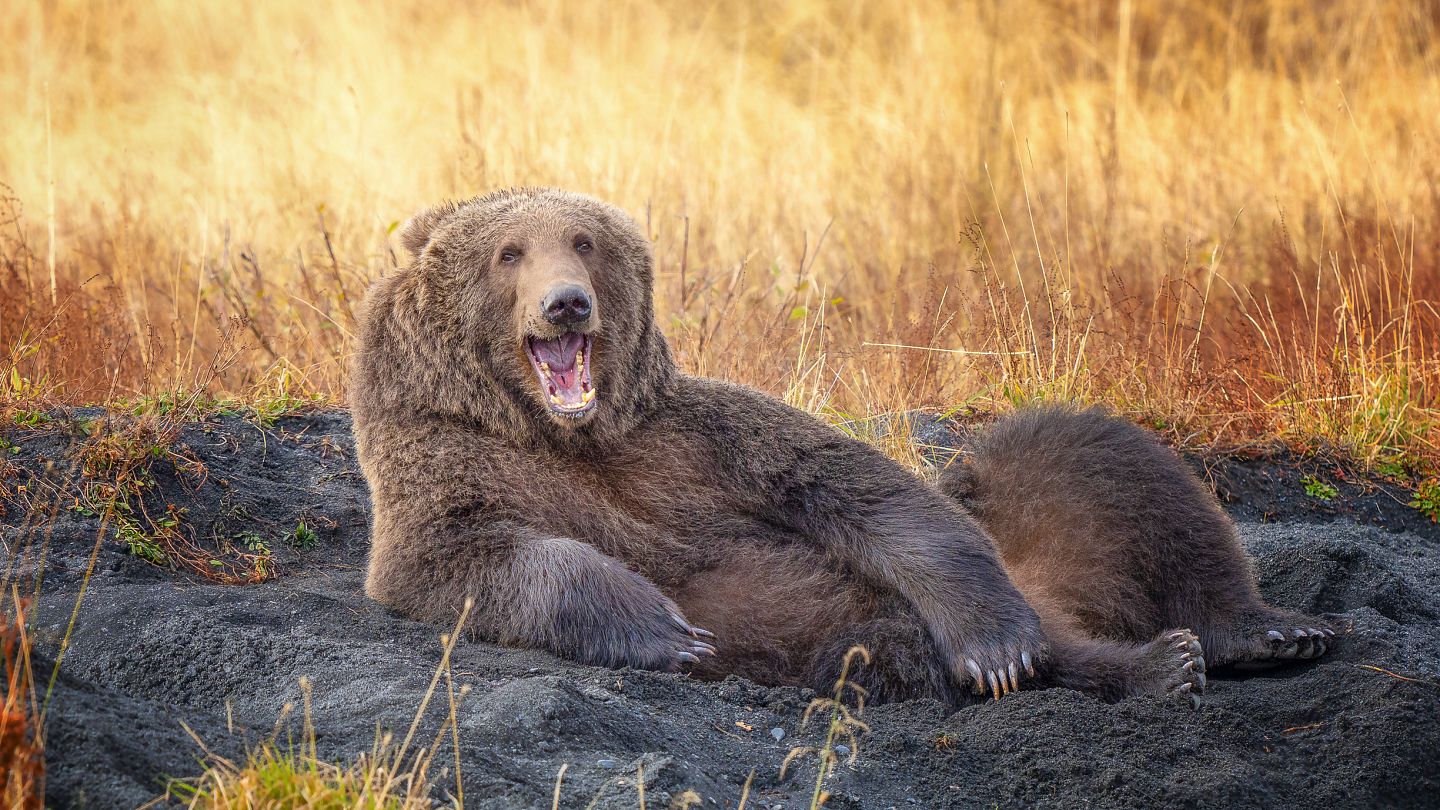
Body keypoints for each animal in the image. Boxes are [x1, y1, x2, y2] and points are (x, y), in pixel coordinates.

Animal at [348, 185, 1319, 703]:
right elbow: (469, 561)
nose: (566, 303)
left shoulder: (694, 439)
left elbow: (864, 489)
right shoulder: (448, 466)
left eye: (583, 242)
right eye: (508, 252)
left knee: (1103, 455)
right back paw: (1165, 663)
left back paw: (1258, 633)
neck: (567, 430)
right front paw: (667, 629)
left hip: (1034, 511)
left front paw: (995, 643)